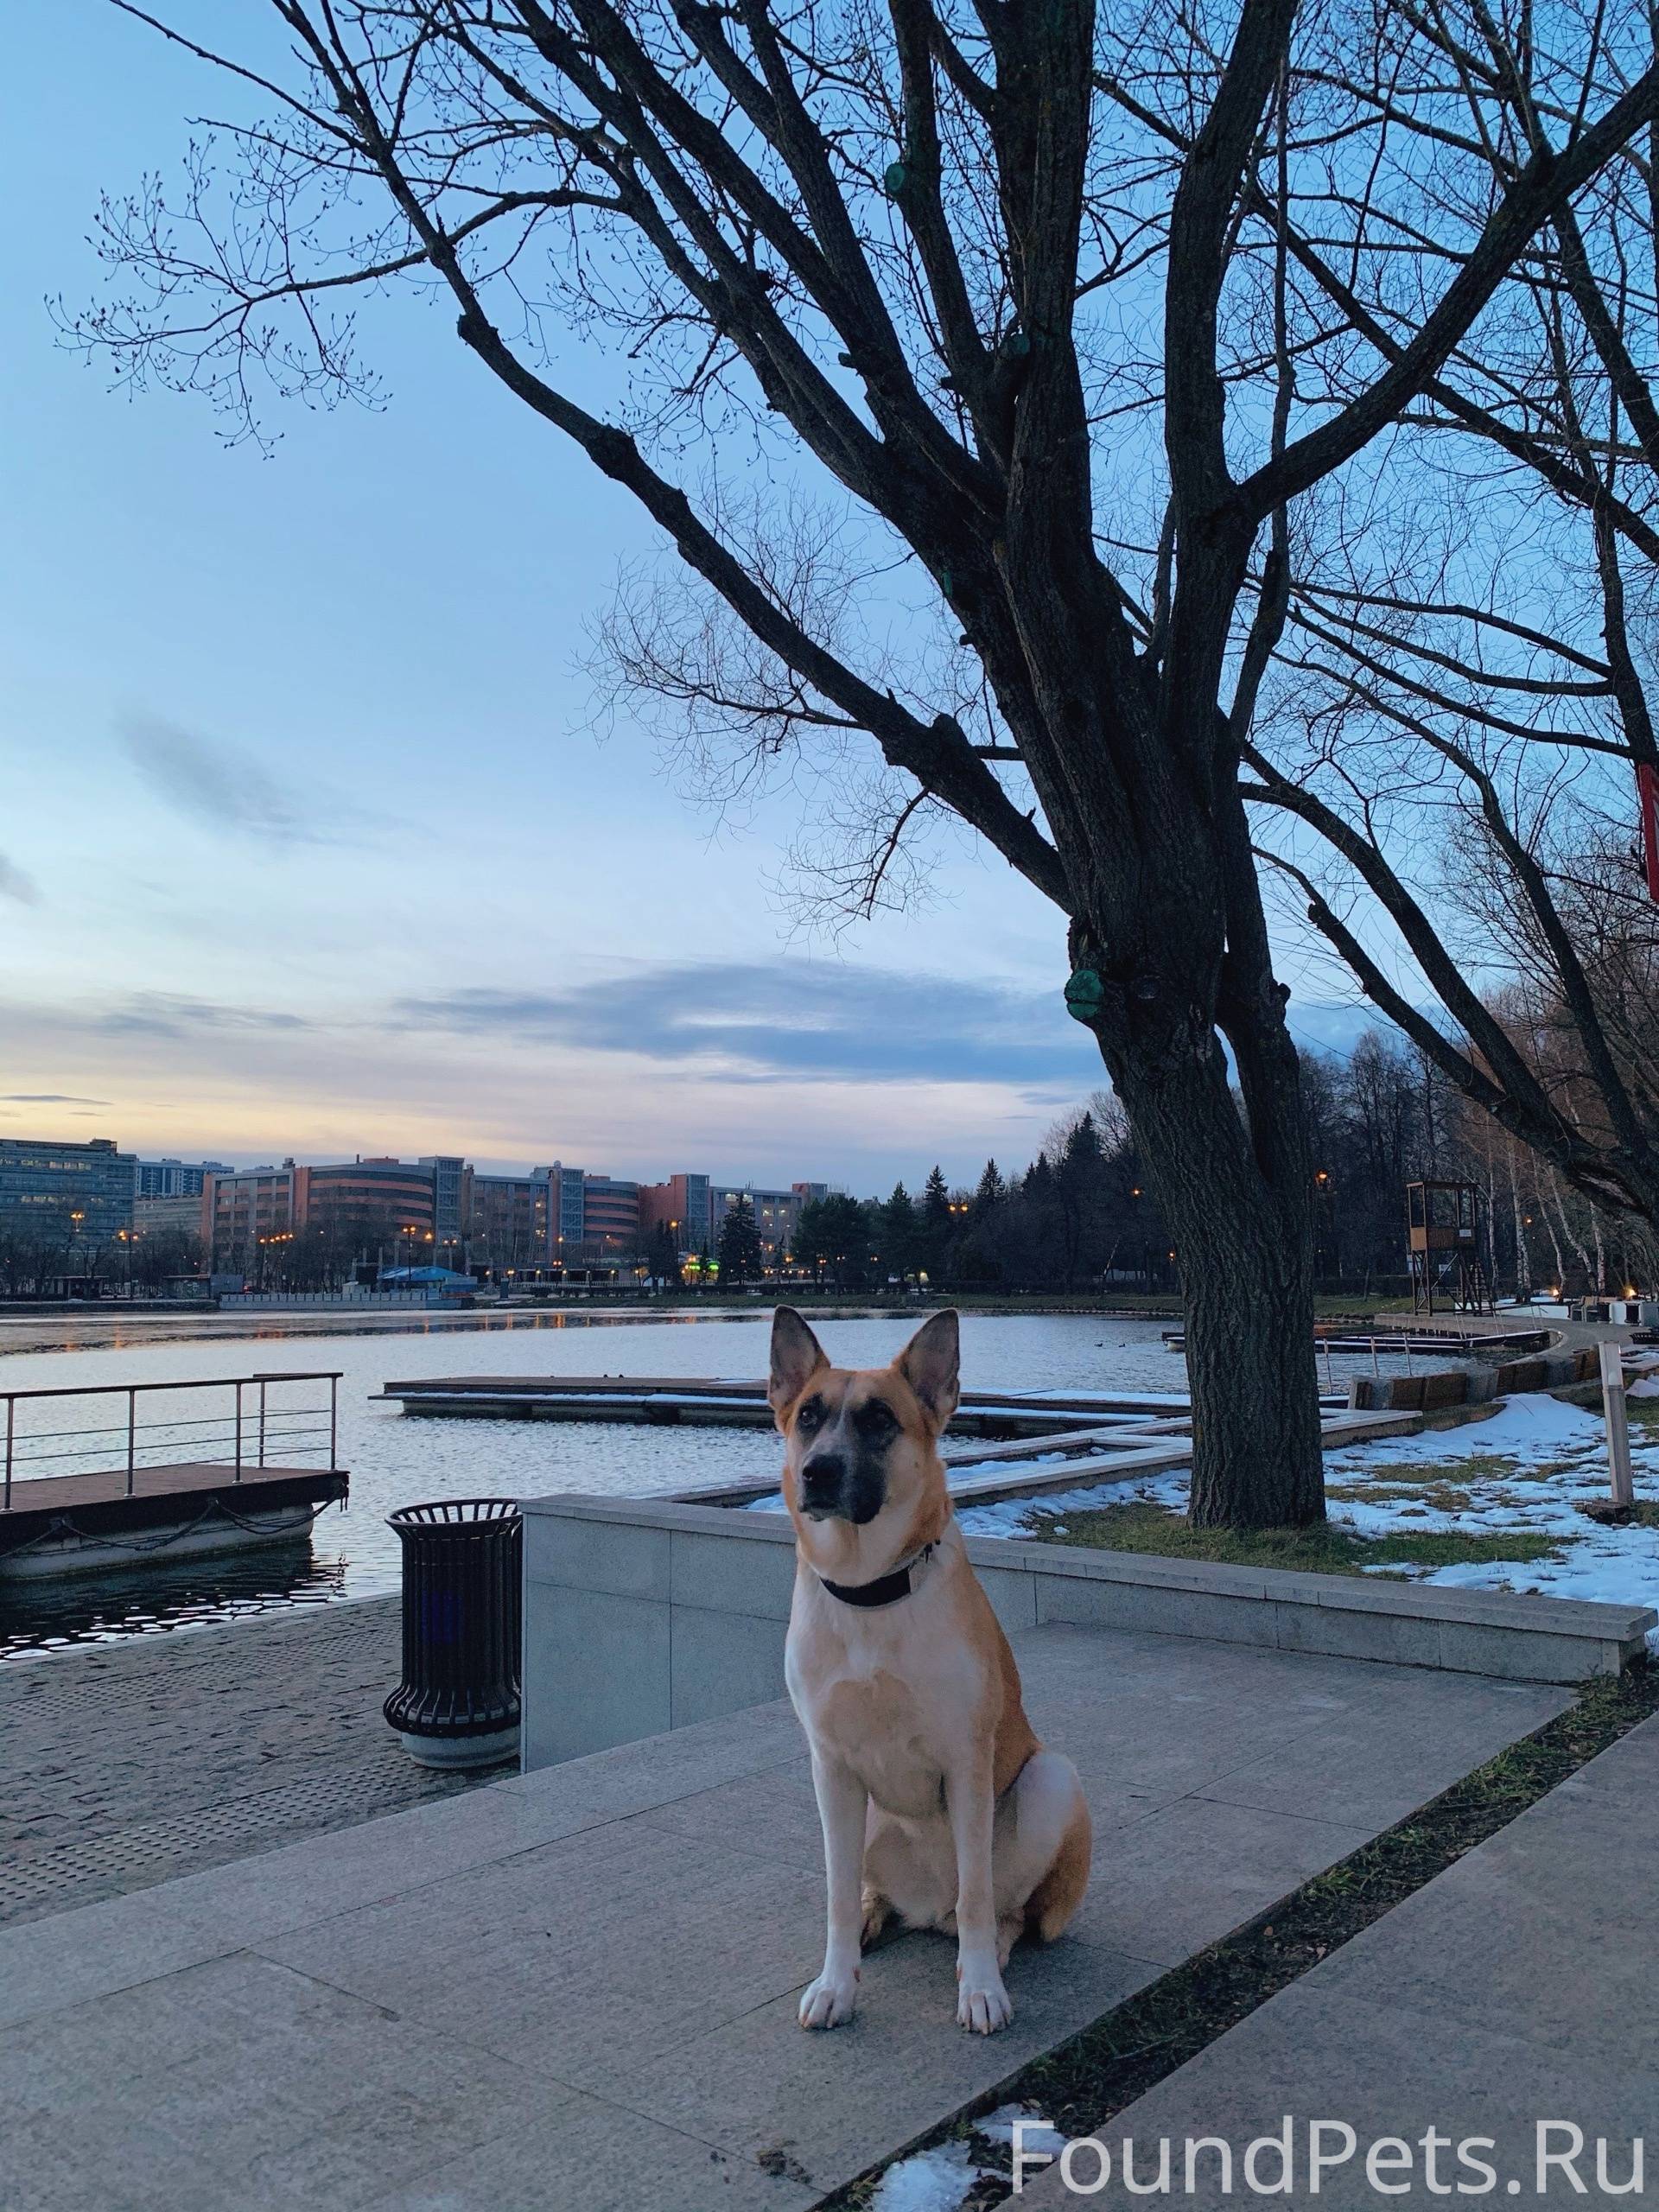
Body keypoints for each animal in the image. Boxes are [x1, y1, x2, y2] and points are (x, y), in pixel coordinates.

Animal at [774, 1292, 1096, 2035]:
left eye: (880, 1420)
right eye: (808, 1417)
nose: (818, 1471)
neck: (870, 1590)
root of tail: (926, 1910)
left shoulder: (965, 1760)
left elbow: (978, 1894)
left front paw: (979, 1989)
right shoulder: (830, 1767)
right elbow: (835, 1896)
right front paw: (836, 1983)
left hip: (1050, 1782)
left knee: (1002, 1907)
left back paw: (992, 1948)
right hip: (863, 1817)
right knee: (871, 1889)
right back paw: (875, 1916)